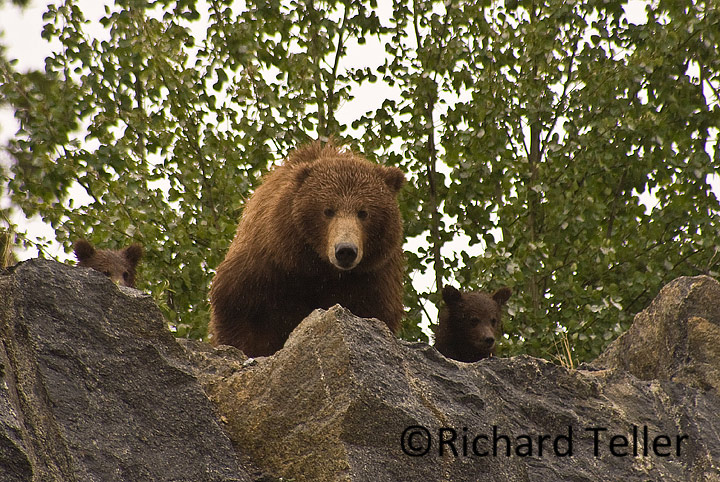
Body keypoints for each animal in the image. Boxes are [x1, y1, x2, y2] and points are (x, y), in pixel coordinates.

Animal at [209, 140, 405, 357]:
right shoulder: (261, 272)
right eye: (328, 210)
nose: (345, 251)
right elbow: (242, 319)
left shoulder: (372, 280)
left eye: (364, 212)